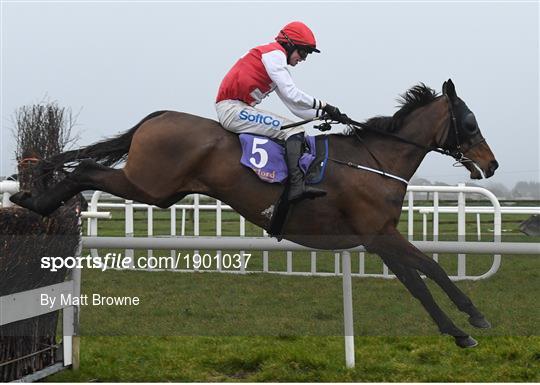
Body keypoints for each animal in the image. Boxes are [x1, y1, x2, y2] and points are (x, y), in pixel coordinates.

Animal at [10, 79, 500, 346]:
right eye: (470, 122)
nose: (492, 163)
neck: (375, 161)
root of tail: (159, 115)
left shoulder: (379, 237)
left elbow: (426, 275)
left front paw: (468, 321)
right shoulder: (378, 235)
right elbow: (425, 277)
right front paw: (467, 324)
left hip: (157, 189)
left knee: (87, 170)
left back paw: (33, 198)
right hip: (149, 185)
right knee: (86, 170)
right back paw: (34, 200)